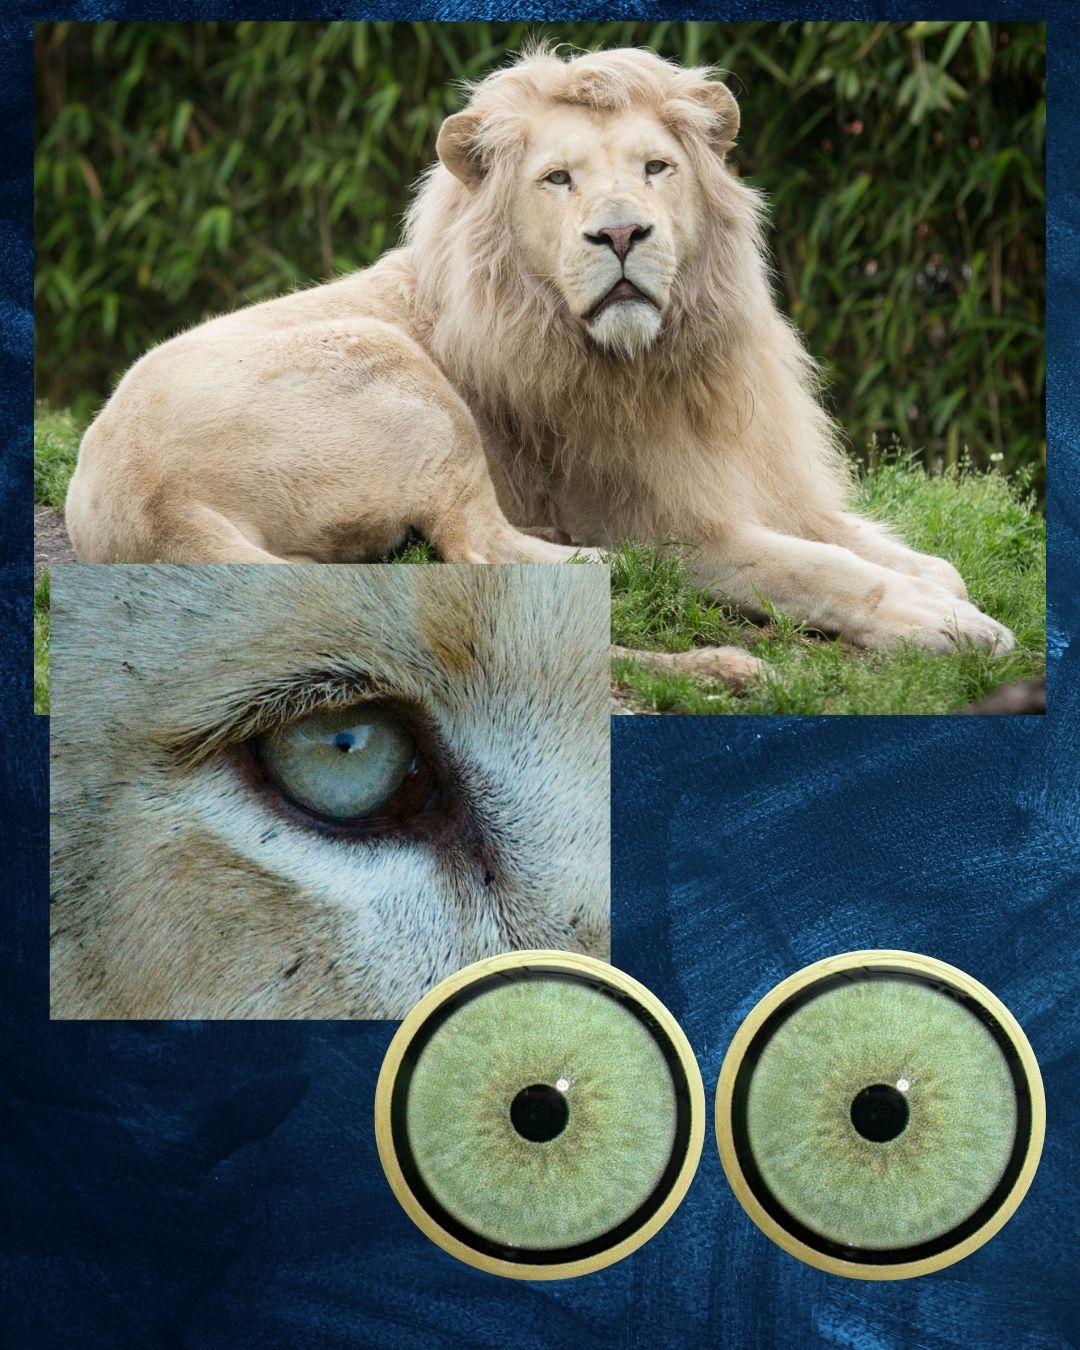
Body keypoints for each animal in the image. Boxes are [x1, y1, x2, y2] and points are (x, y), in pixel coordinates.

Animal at [64, 45, 1013, 654]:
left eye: (657, 167)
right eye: (559, 180)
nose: (621, 233)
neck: (671, 359)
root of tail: (148, 503)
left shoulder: (766, 476)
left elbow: (899, 551)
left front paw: (941, 587)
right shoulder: (670, 523)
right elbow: (822, 570)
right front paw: (945, 624)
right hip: (396, 374)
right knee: (483, 549)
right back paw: (609, 571)